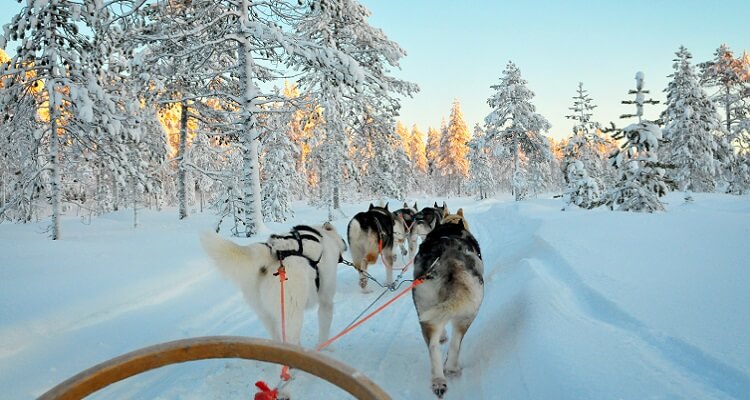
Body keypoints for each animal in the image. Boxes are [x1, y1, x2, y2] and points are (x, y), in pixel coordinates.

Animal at [203, 222, 350, 346]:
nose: (345, 243)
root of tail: (273, 252)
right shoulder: (326, 301)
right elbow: (325, 328)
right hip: (291, 315)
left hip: (266, 315)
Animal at [414, 209, 484, 396]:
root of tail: (451, 259)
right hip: (468, 315)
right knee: (455, 342)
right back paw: (450, 369)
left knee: (436, 346)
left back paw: (440, 378)